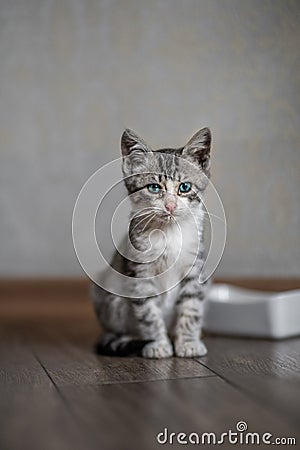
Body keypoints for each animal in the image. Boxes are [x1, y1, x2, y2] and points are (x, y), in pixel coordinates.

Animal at [91, 126, 211, 358]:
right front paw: (158, 344)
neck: (169, 233)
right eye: (154, 187)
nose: (171, 206)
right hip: (107, 295)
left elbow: (191, 307)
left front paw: (188, 342)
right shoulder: (139, 274)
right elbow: (148, 313)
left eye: (184, 187)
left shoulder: (195, 267)